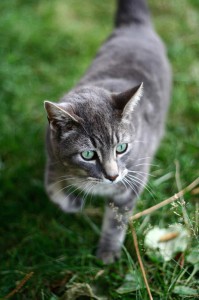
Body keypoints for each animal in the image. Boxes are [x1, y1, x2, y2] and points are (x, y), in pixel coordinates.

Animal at [43, 0, 171, 264]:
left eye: (122, 148)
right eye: (88, 155)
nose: (112, 176)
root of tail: (134, 26)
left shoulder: (133, 182)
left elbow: (116, 221)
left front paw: (108, 252)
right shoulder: (52, 154)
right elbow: (52, 187)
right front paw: (72, 203)